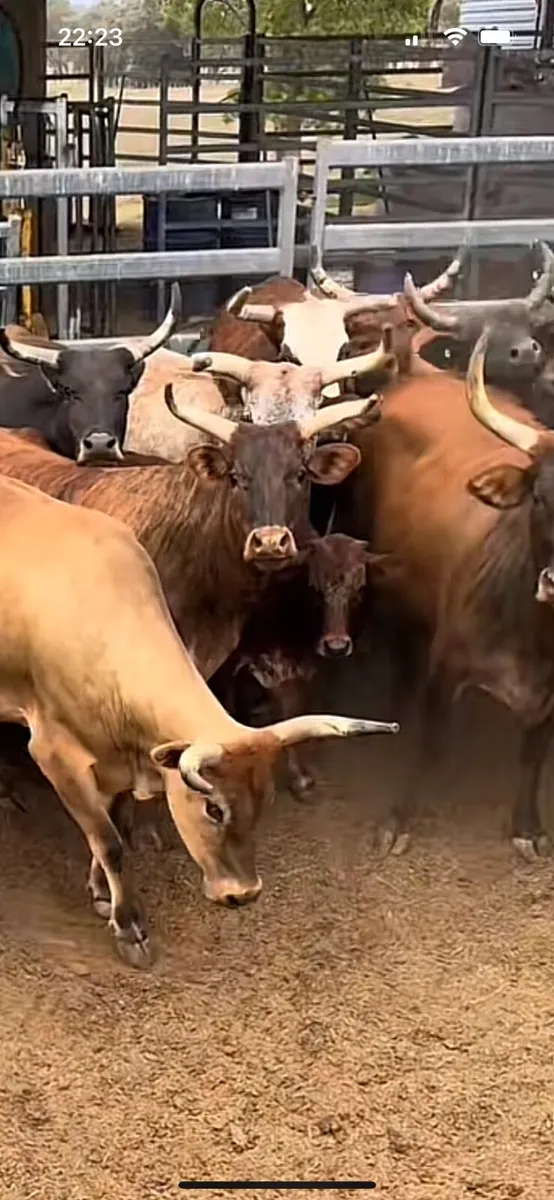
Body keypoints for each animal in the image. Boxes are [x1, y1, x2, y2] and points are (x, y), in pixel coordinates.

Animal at [333, 327, 554, 863]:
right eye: (541, 496)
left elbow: (533, 754)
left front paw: (527, 825)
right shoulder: (446, 667)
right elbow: (430, 743)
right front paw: (398, 819)